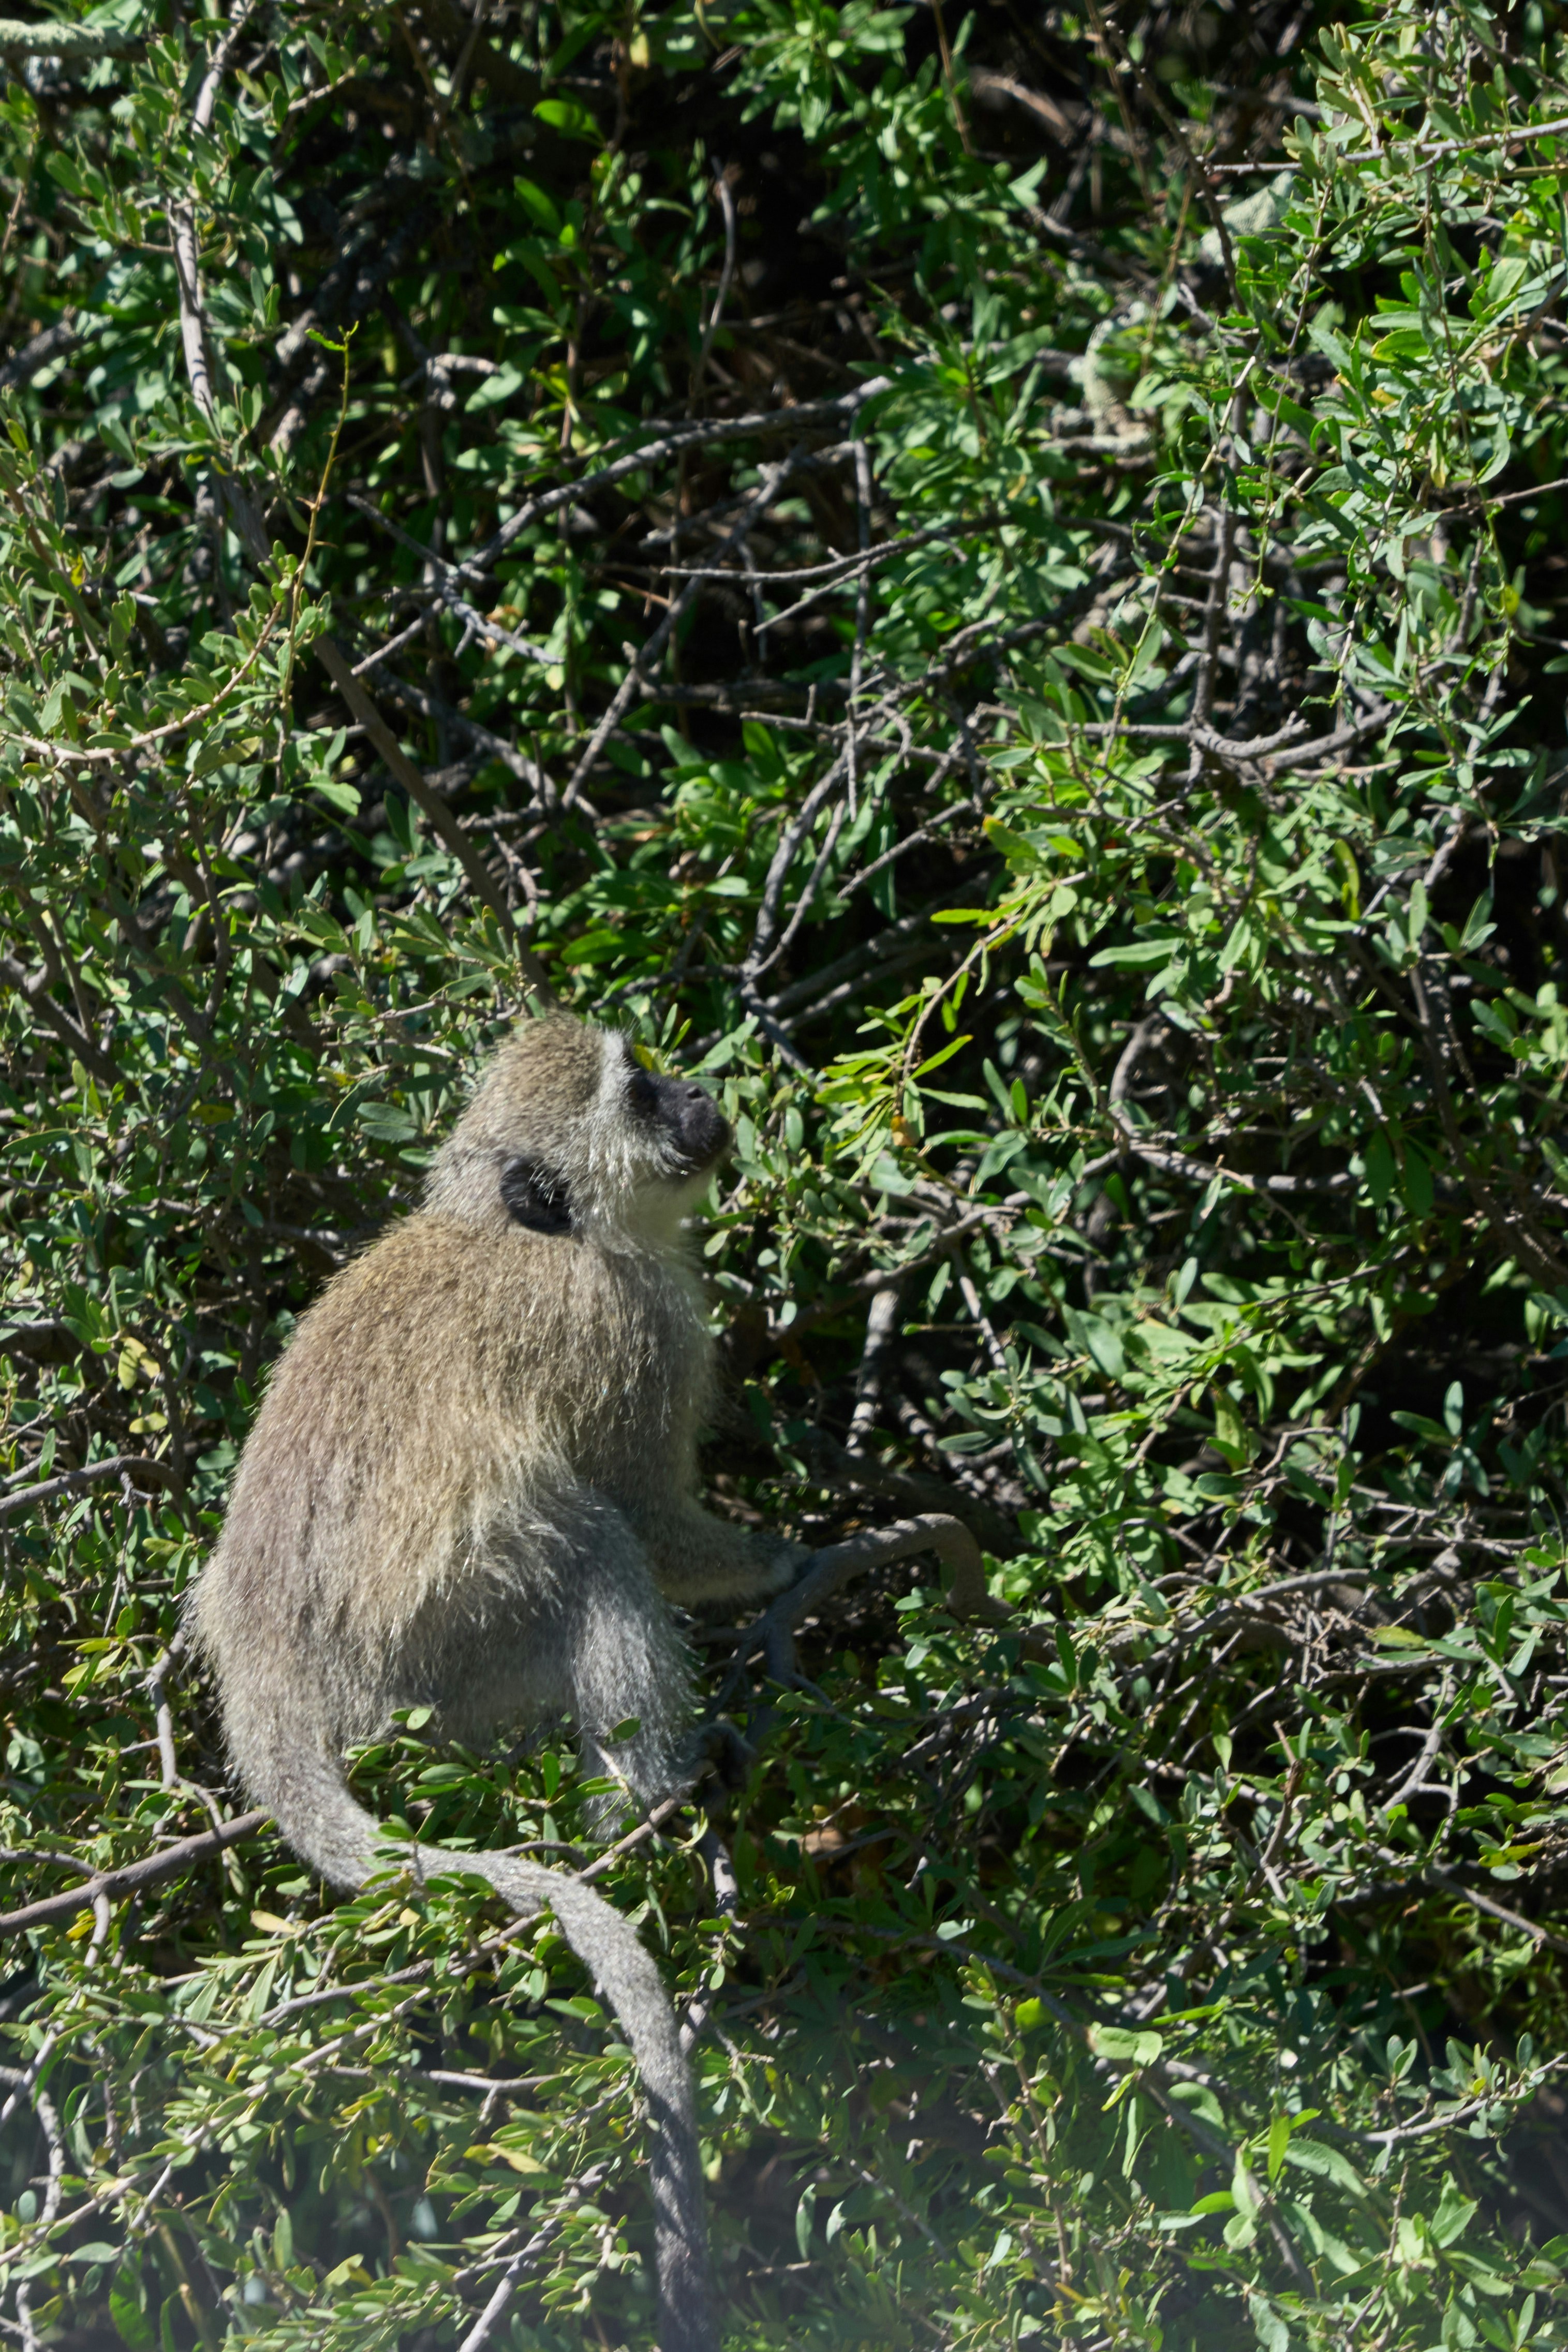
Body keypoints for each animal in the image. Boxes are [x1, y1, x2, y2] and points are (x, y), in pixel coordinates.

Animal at [187, 1013, 810, 2352]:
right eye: (639, 1093)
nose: (700, 1091)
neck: (538, 1235)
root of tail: (268, 1672)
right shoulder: (634, 1328)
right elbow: (643, 1510)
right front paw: (785, 1560)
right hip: (443, 1648)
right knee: (590, 1544)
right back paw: (645, 1806)